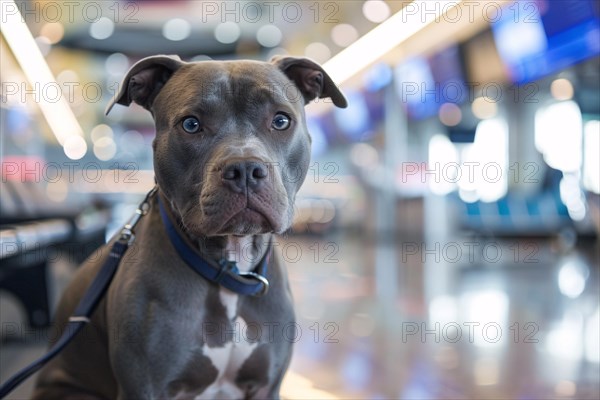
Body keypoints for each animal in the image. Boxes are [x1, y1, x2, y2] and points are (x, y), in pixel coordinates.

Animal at [30, 56, 344, 400]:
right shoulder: (144, 388)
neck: (229, 270)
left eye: (281, 120)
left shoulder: (266, 386)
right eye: (191, 124)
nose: (245, 168)